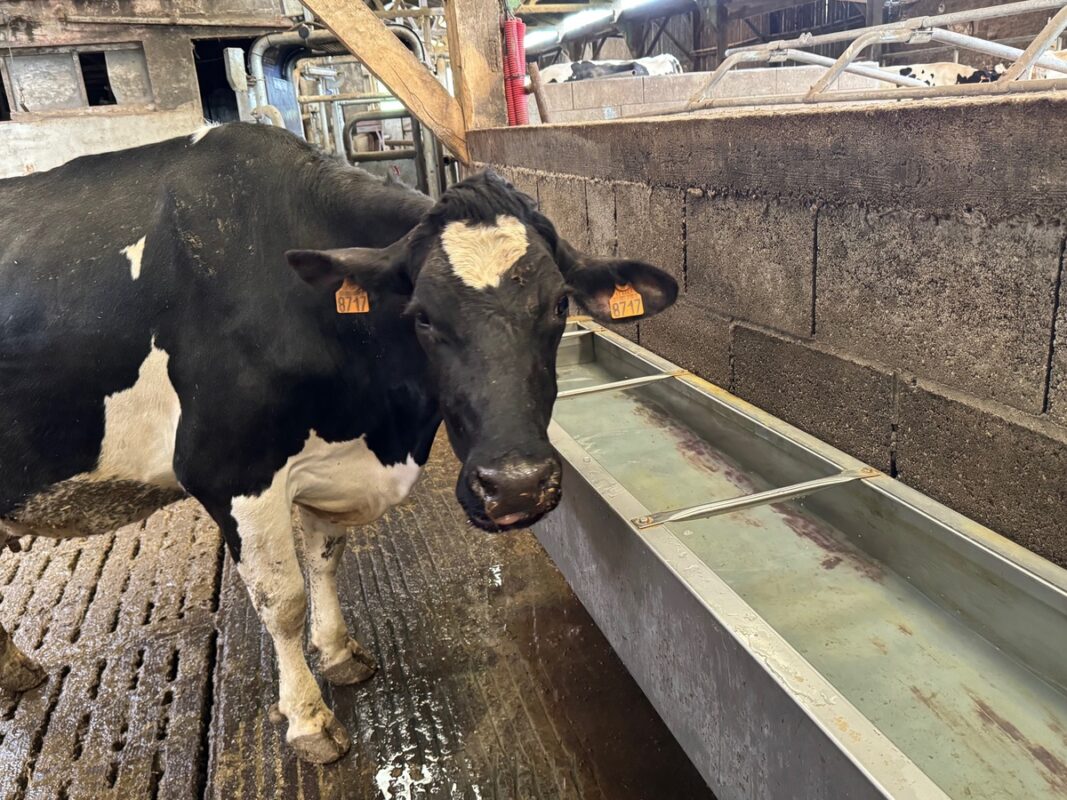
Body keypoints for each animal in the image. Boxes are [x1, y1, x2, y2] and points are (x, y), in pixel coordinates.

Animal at [0, 123, 677, 763]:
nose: (515, 487)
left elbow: (325, 560)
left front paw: (339, 653)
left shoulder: (328, 464)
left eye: (560, 304)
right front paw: (308, 719)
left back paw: (16, 671)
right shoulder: (228, 468)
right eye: (422, 315)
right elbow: (283, 598)